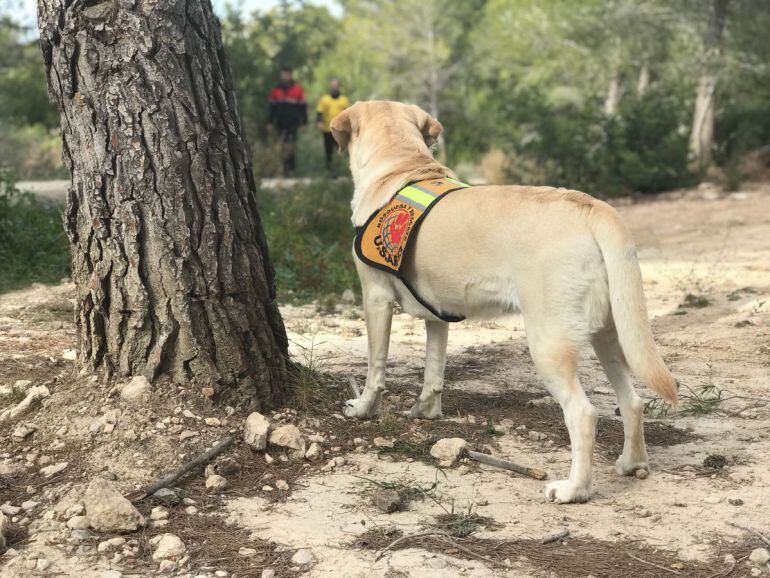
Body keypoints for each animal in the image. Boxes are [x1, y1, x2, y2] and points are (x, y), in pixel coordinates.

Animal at [330, 99, 672, 500]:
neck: (402, 165)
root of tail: (589, 206)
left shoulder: (376, 298)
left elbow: (375, 368)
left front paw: (363, 408)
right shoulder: (438, 315)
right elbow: (434, 371)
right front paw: (425, 410)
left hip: (549, 344)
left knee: (583, 414)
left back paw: (573, 489)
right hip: (610, 335)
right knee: (632, 401)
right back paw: (632, 463)